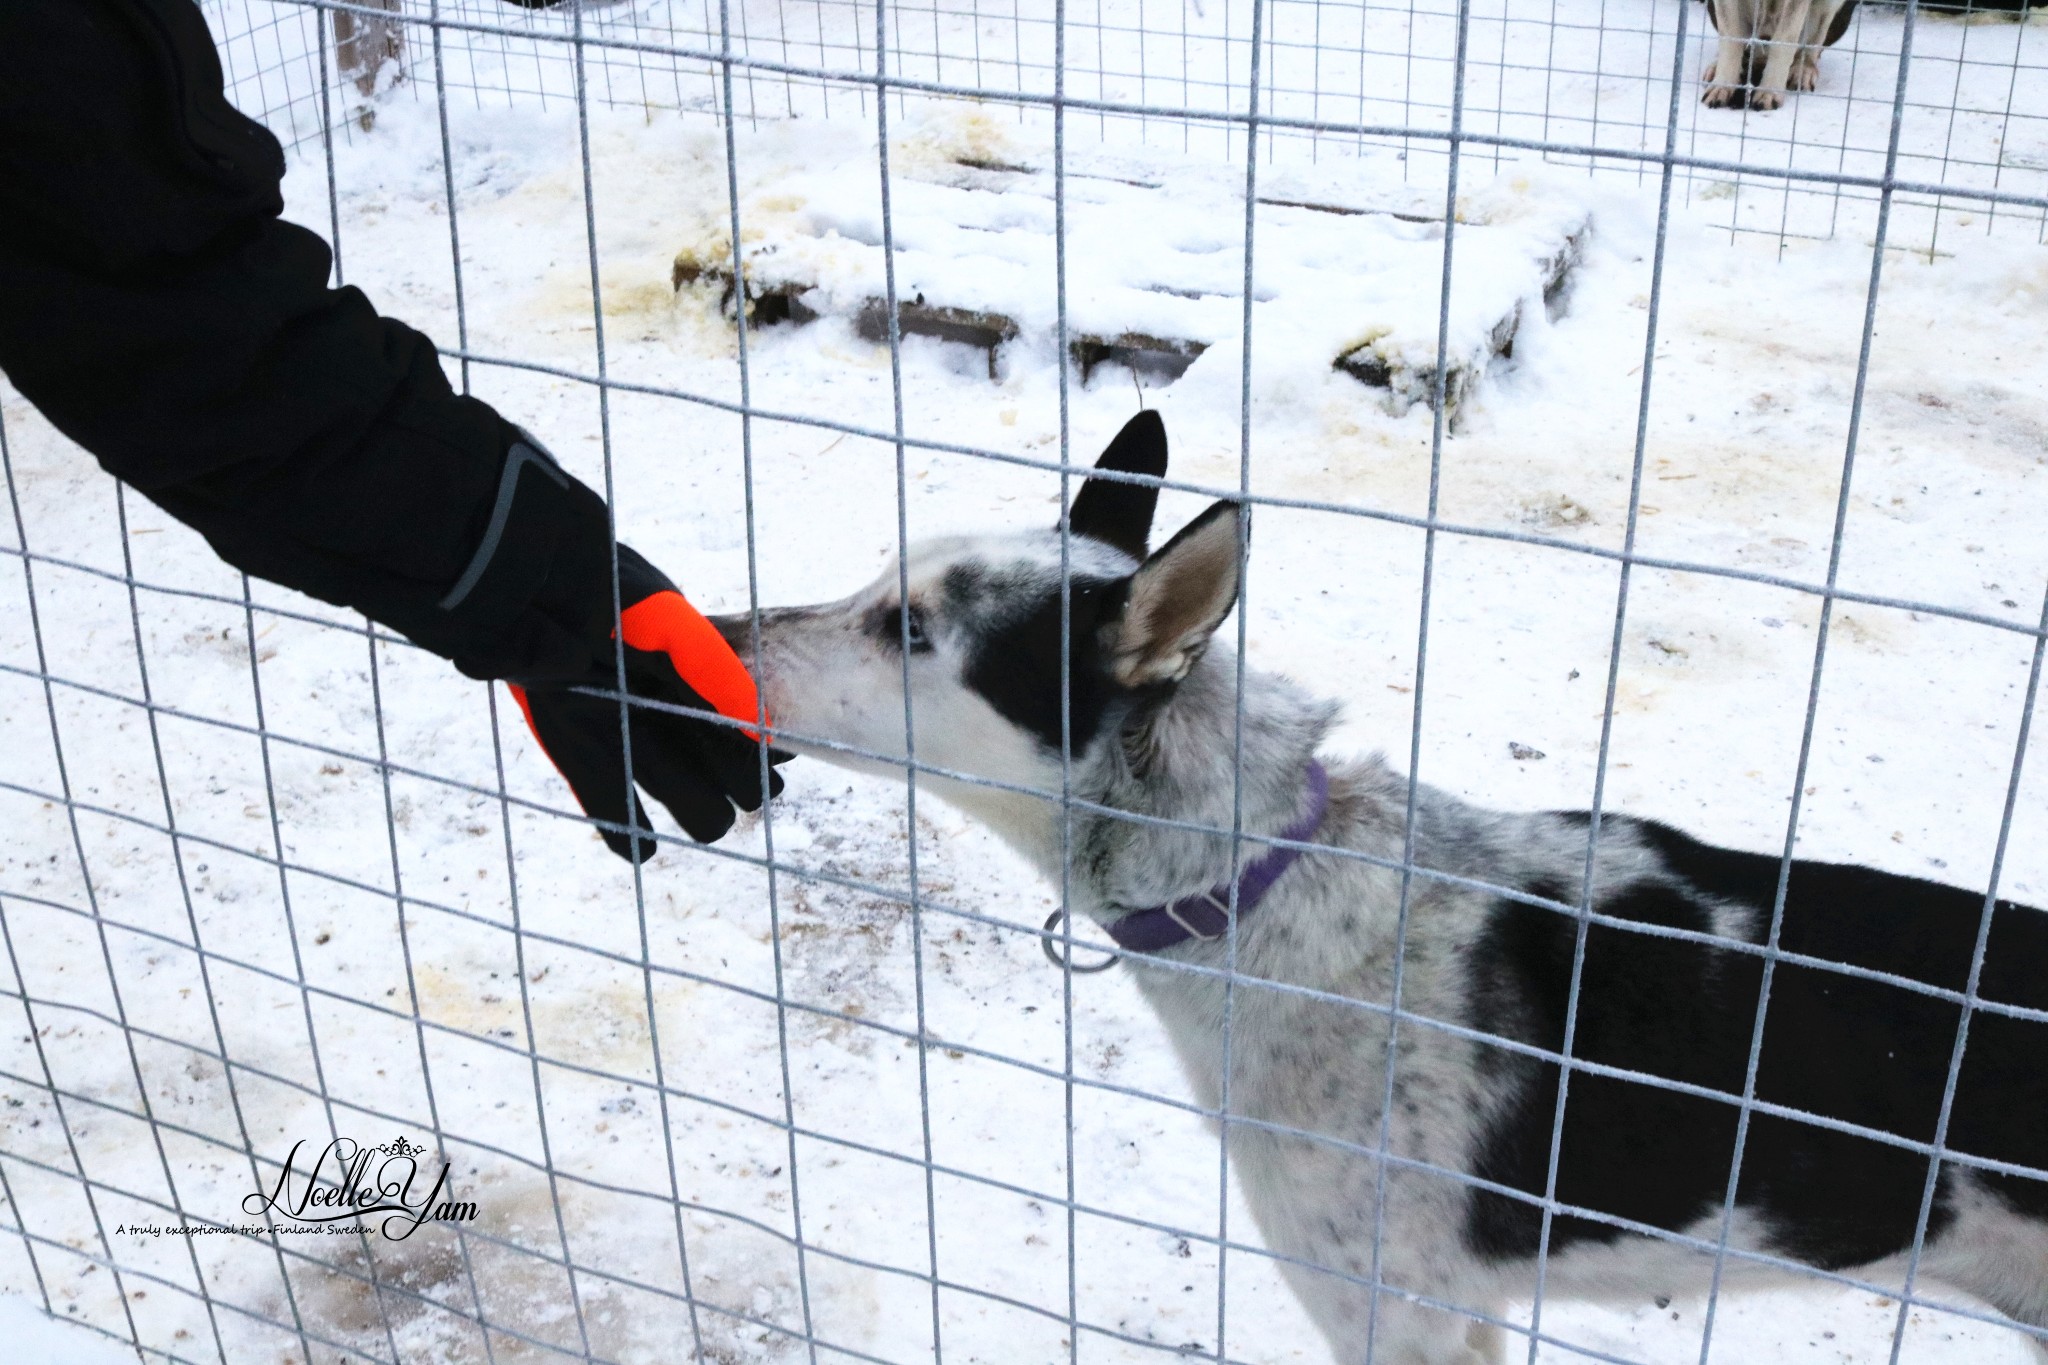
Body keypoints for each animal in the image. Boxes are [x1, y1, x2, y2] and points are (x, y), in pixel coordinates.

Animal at [1695, 0, 1859, 112]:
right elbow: (1730, 37)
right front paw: (1721, 88)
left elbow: (1784, 40)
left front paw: (1768, 94)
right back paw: (1716, 68)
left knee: (1814, 44)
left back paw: (1802, 71)